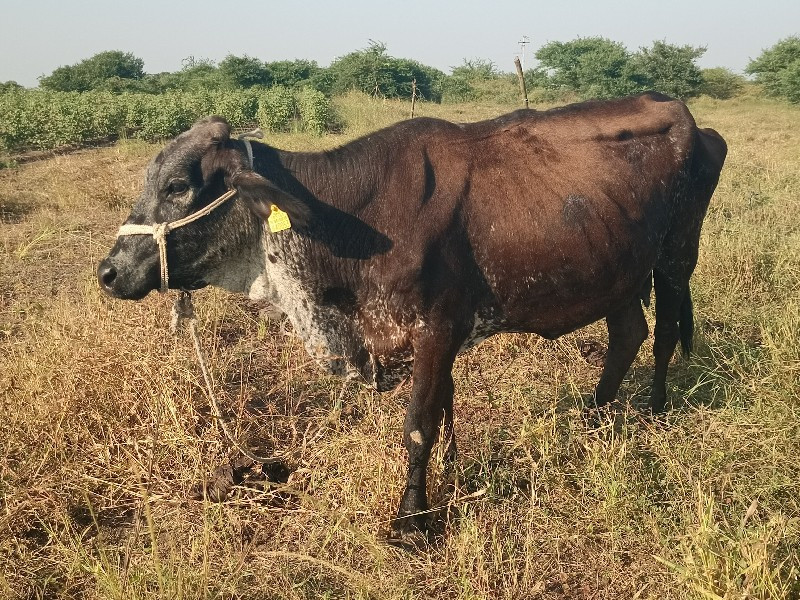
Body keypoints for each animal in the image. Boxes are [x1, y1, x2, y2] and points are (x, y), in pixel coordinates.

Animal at [98, 92, 724, 536]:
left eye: (178, 184)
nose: (108, 272)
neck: (348, 218)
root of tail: (693, 121)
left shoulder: (435, 329)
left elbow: (419, 423)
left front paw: (412, 517)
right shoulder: (439, 336)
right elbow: (444, 409)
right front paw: (449, 476)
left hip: (675, 255)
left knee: (665, 329)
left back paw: (655, 409)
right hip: (618, 269)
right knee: (629, 332)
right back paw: (594, 417)